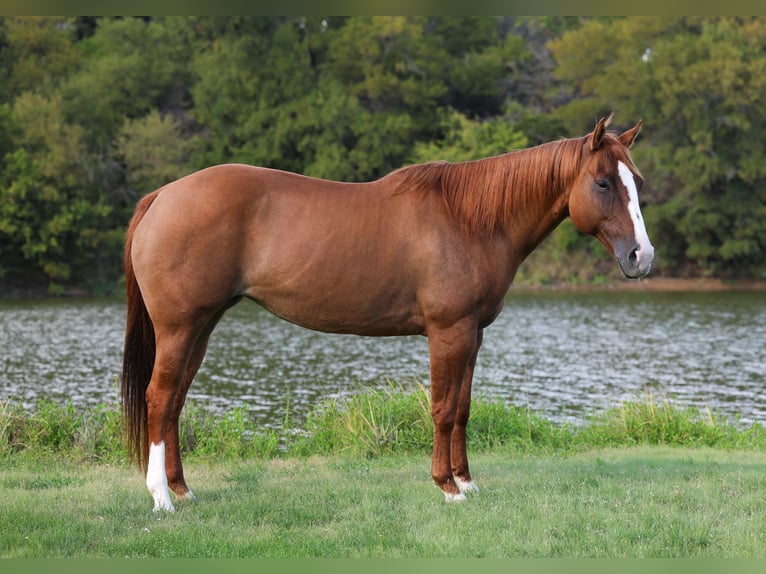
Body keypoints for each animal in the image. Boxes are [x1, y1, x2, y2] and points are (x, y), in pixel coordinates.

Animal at [122, 115, 653, 512]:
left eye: (637, 183)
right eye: (603, 182)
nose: (641, 257)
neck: (471, 221)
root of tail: (162, 195)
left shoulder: (473, 334)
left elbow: (463, 408)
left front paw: (468, 481)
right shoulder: (448, 333)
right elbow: (442, 409)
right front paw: (447, 487)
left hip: (201, 327)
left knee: (175, 402)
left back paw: (183, 490)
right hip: (180, 327)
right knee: (159, 398)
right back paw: (161, 498)